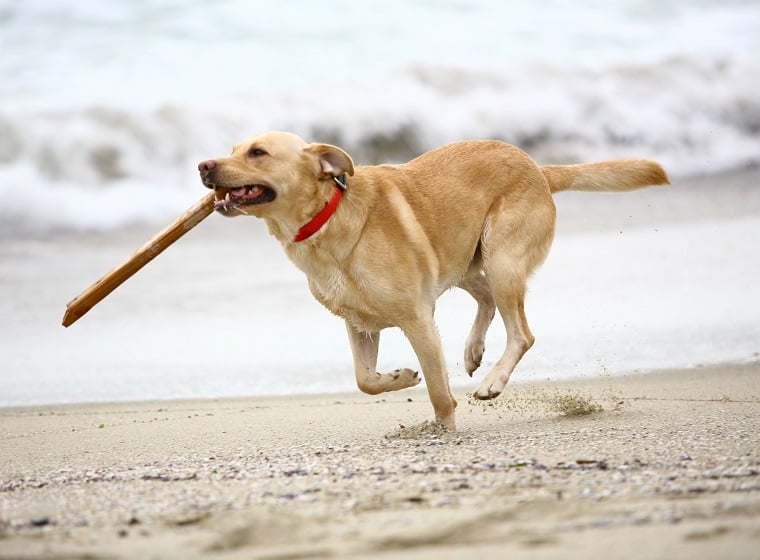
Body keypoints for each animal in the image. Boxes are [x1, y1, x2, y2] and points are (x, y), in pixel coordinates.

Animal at [197, 131, 672, 428]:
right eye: (234, 148)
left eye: (257, 153)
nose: (203, 165)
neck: (326, 217)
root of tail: (538, 168)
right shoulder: (359, 324)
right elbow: (364, 380)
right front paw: (401, 378)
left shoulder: (417, 318)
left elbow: (440, 392)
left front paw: (442, 428)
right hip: (462, 260)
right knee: (486, 299)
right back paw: (473, 351)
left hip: (501, 258)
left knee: (522, 332)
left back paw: (492, 381)